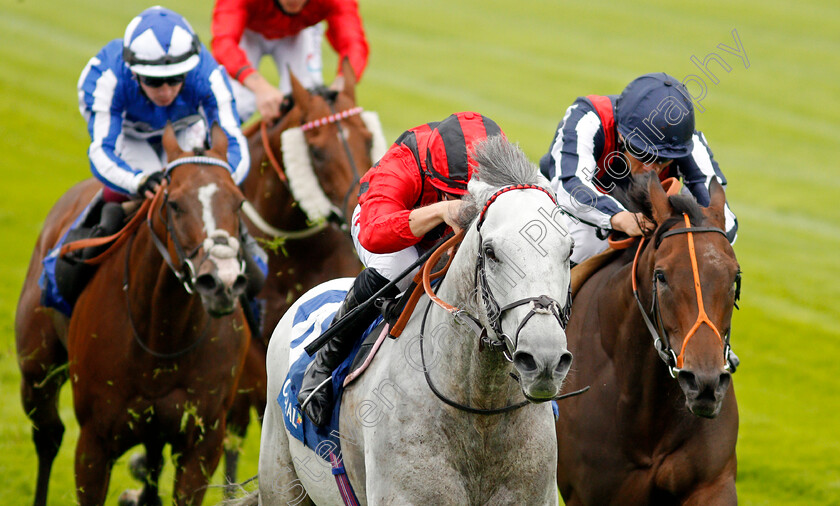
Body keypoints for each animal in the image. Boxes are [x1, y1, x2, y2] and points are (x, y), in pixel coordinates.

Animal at [16, 124, 251, 504]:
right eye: (174, 203)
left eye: (239, 202)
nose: (222, 283)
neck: (163, 333)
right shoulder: (94, 443)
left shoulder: (202, 443)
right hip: (36, 370)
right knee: (48, 436)